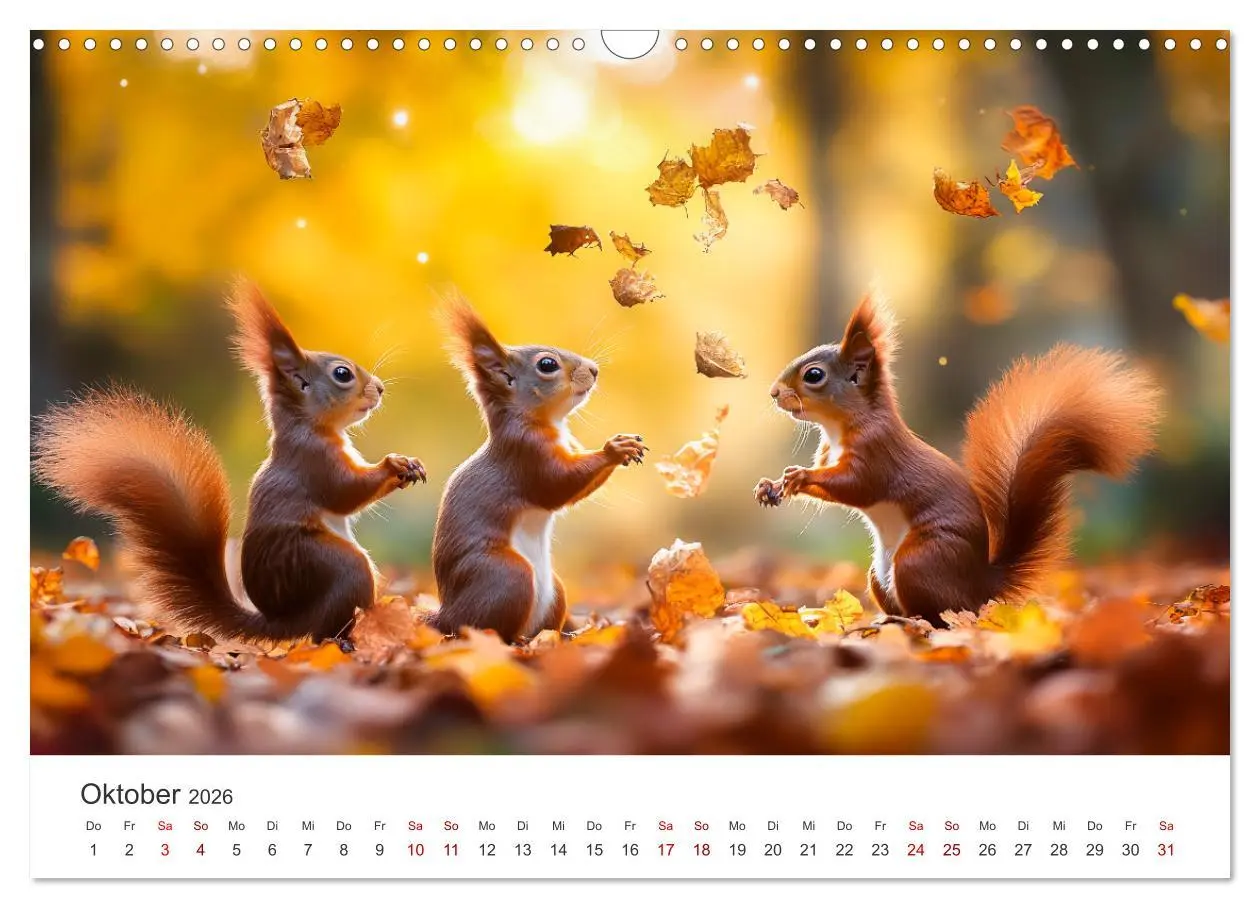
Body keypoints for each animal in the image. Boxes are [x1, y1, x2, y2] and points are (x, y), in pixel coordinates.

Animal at [32, 280, 426, 647]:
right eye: (342, 374)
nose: (380, 388)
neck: (310, 428)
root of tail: (286, 623)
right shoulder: (313, 462)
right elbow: (346, 493)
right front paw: (394, 465)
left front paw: (409, 464)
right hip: (331, 564)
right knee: (324, 630)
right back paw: (348, 641)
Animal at [431, 301, 647, 643]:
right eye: (547, 365)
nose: (594, 370)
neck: (546, 423)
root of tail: (445, 617)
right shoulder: (526, 455)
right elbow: (558, 485)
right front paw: (614, 448)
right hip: (507, 575)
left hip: (554, 591)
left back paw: (568, 634)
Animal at [754, 293, 1162, 625]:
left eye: (814, 375)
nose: (773, 392)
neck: (840, 428)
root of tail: (980, 588)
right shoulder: (828, 453)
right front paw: (770, 485)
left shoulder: (877, 453)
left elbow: (855, 486)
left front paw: (798, 477)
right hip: (879, 574)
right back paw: (887, 620)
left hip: (920, 560)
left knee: (938, 618)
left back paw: (908, 624)